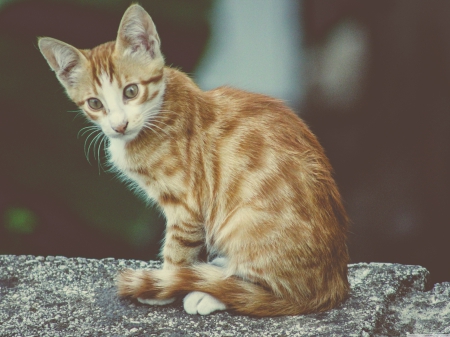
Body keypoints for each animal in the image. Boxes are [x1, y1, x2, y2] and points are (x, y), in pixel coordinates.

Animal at [38, 4, 350, 316]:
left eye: (131, 91)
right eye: (95, 103)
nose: (119, 125)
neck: (158, 111)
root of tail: (334, 284)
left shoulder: (186, 204)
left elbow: (177, 249)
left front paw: (164, 286)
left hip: (242, 224)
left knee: (269, 292)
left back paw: (211, 291)